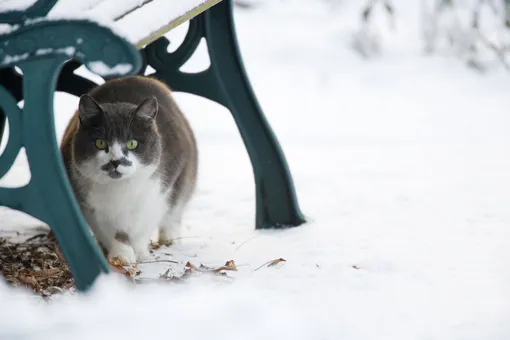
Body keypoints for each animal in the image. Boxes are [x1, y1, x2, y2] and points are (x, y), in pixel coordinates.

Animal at [58, 75, 196, 264]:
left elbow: (143, 226)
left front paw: (140, 252)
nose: (116, 161)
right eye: (100, 142)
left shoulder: (160, 190)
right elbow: (108, 231)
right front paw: (120, 255)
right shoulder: (89, 204)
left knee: (175, 210)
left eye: (132, 143)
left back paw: (170, 238)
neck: (119, 188)